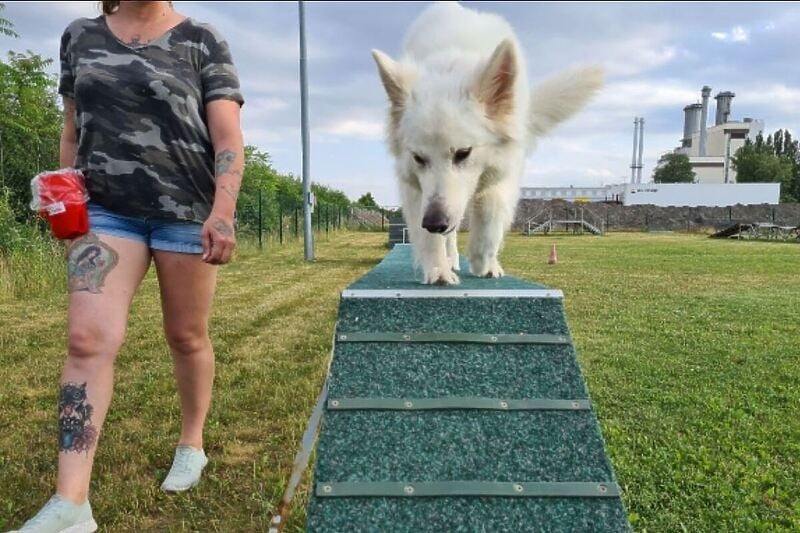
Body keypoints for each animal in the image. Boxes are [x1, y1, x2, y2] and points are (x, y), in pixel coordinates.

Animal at [372, 2, 604, 284]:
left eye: (463, 153)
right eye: (418, 158)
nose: (435, 223)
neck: (451, 66)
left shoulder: (502, 175)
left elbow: (491, 220)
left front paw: (485, 264)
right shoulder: (415, 189)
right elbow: (429, 238)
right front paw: (438, 270)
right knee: (449, 235)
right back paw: (451, 258)